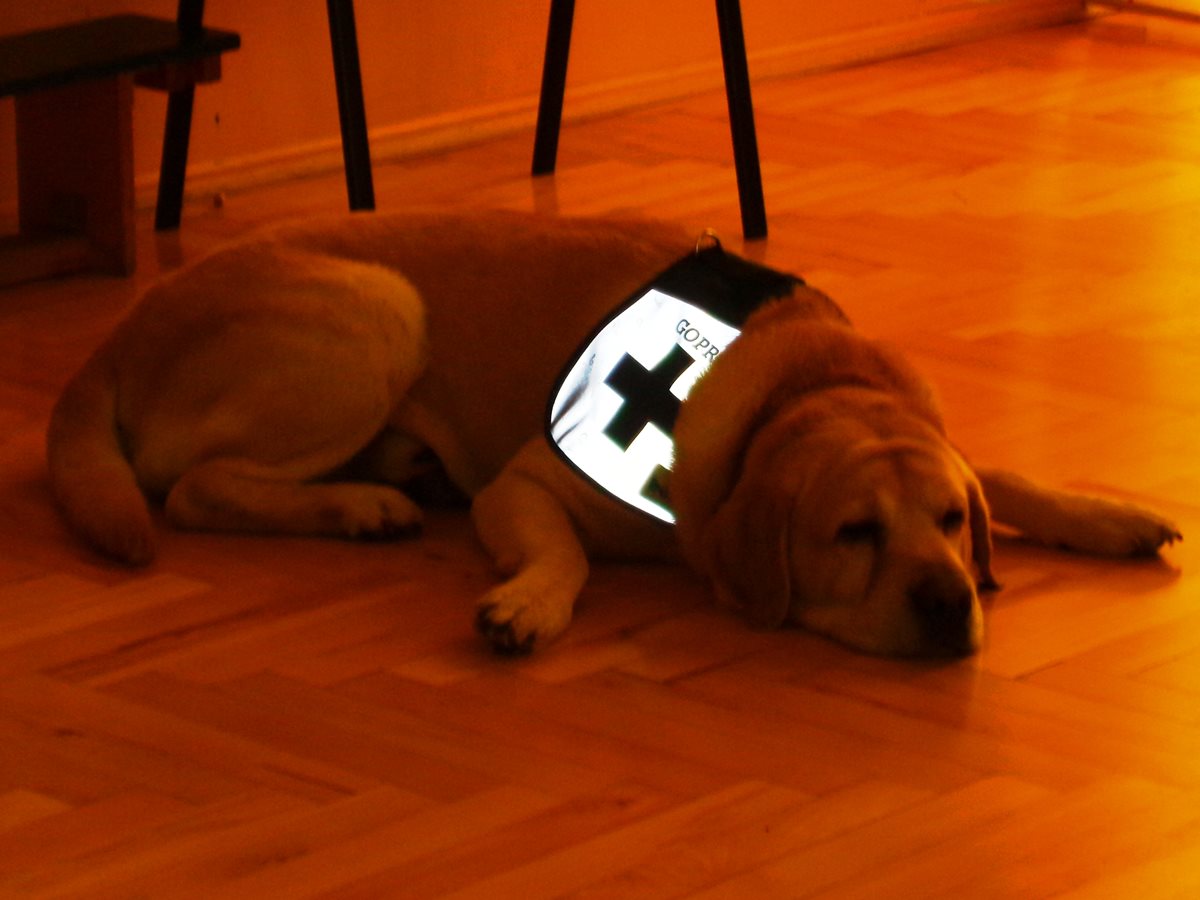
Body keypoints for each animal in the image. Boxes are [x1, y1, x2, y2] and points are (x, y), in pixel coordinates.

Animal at [46, 210, 1182, 657]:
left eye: (949, 522)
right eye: (852, 534)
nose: (951, 604)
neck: (798, 384)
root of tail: (116, 334)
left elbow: (1011, 475)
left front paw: (1108, 514)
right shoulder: (526, 485)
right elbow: (565, 556)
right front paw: (530, 605)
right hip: (380, 312)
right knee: (191, 488)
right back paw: (362, 503)